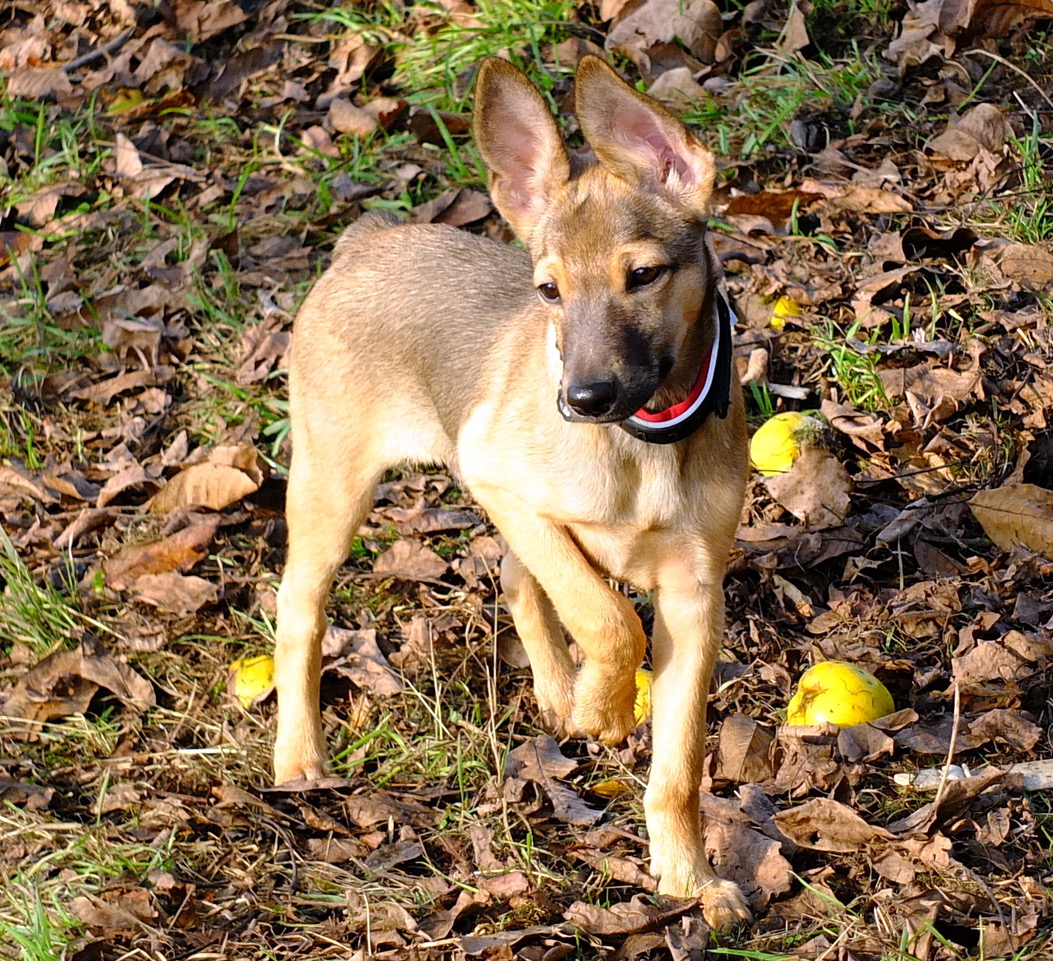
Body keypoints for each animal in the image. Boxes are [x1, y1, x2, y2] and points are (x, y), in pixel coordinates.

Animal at [271, 54, 749, 930]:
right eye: (548, 291)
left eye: (642, 276)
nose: (583, 398)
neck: (644, 440)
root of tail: (364, 242)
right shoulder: (505, 484)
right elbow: (608, 619)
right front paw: (605, 708)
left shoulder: (695, 593)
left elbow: (676, 767)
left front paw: (689, 879)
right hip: (334, 482)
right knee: (299, 609)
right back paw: (299, 754)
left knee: (517, 580)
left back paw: (559, 693)